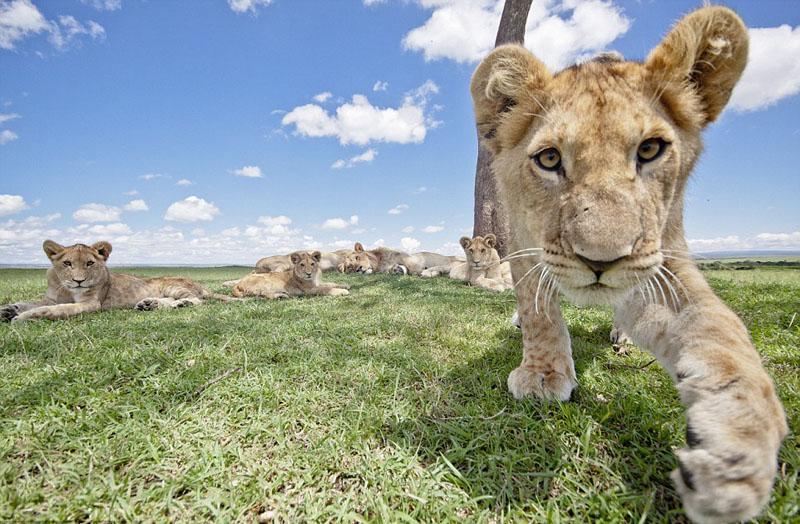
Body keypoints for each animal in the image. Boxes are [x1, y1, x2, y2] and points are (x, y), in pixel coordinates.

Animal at [0, 239, 231, 322]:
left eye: (90, 263)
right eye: (67, 263)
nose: (78, 281)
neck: (67, 290)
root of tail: (200, 285)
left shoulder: (91, 303)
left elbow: (53, 309)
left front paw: (21, 317)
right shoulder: (52, 297)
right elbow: (33, 302)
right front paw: (8, 310)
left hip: (173, 285)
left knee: (197, 300)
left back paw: (180, 303)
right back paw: (149, 304)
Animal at [468, 6, 788, 520]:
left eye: (650, 150)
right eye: (549, 158)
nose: (600, 260)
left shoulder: (660, 262)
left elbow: (720, 330)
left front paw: (738, 443)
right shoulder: (521, 243)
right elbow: (539, 311)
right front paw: (543, 373)